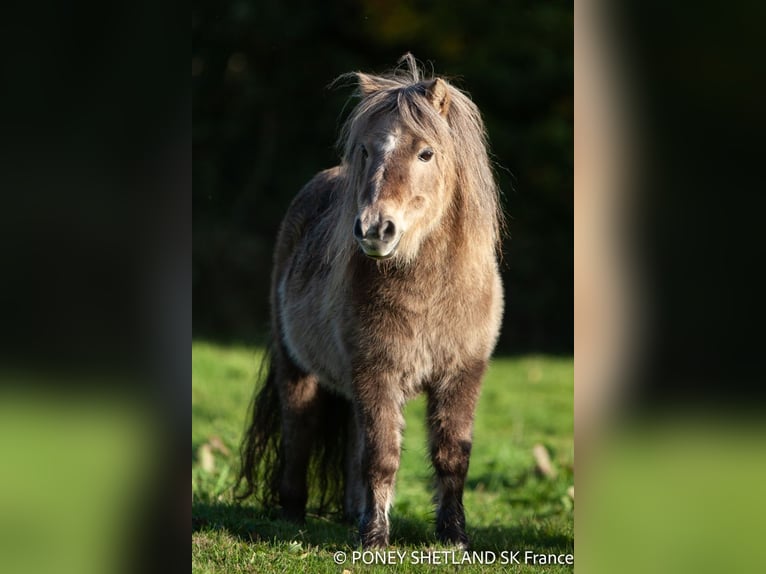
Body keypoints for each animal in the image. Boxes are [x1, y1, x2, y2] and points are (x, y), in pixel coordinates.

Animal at [237, 55, 508, 552]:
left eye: (426, 153)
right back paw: (292, 516)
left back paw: (352, 514)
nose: (373, 229)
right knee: (300, 432)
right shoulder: (376, 373)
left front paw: (453, 536)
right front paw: (377, 540)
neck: (431, 294)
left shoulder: (462, 374)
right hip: (297, 369)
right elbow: (382, 456)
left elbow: (451, 455)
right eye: (365, 151)